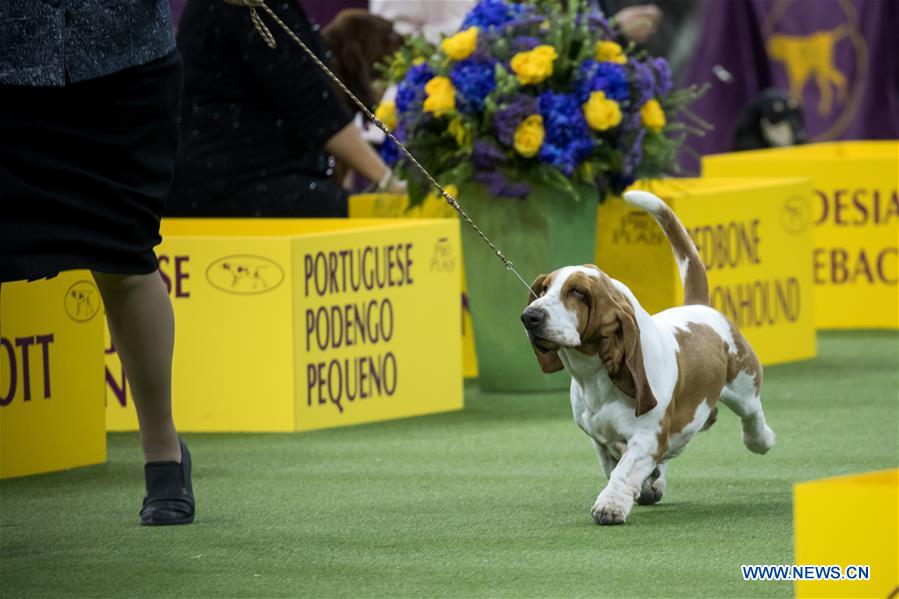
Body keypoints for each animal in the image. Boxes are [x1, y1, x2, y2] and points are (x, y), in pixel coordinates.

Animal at [524, 192, 776, 524]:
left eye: (577, 292)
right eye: (542, 289)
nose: (530, 316)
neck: (594, 376)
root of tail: (698, 305)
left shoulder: (647, 435)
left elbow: (624, 471)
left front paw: (610, 506)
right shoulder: (600, 439)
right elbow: (616, 466)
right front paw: (645, 486)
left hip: (743, 383)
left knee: (752, 413)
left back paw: (761, 440)